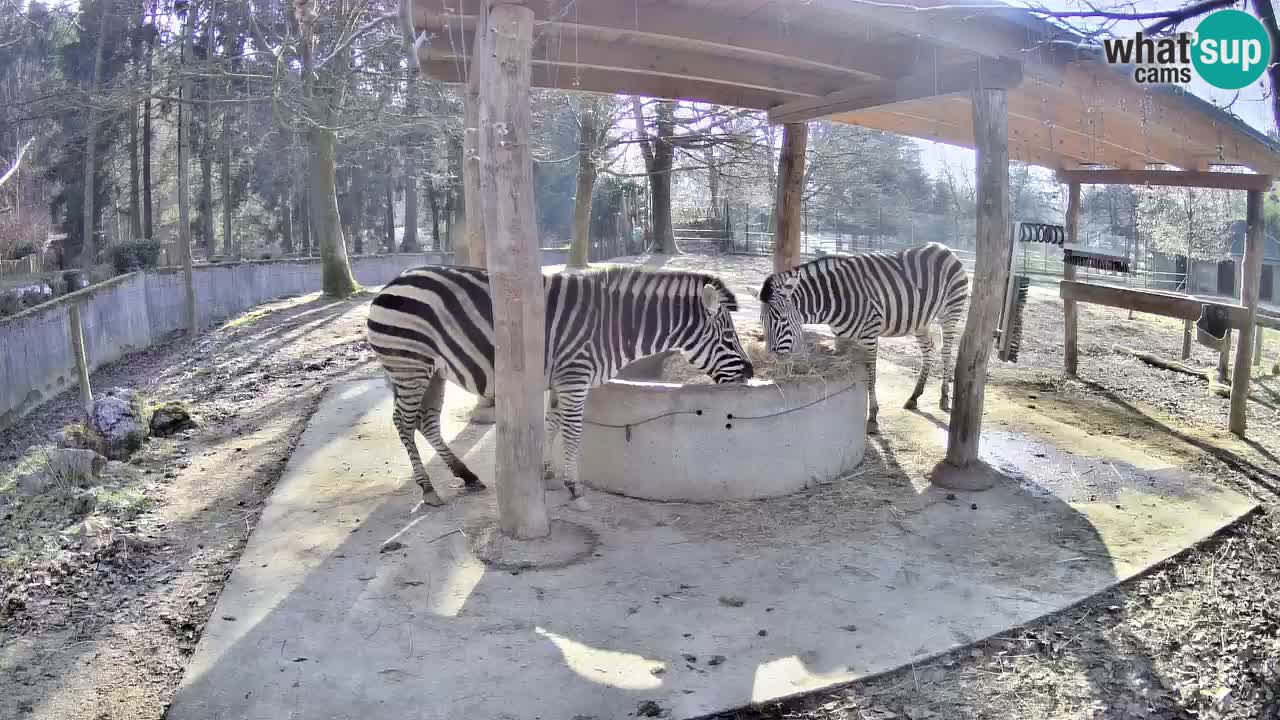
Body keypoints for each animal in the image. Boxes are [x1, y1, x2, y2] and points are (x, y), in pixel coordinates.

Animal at [366, 263, 752, 509]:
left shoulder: (558, 380)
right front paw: (573, 487)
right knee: (404, 422)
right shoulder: (574, 378)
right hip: (410, 366)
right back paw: (428, 490)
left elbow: (552, 424)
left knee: (426, 422)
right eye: (729, 337)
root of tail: (393, 281)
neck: (615, 325)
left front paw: (546, 472)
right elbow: (573, 432)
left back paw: (466, 475)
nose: (750, 372)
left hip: (432, 372)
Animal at [752, 240, 962, 430]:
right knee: (929, 350)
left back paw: (944, 398)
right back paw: (914, 397)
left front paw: (872, 417)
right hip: (921, 321)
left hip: (950, 312)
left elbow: (871, 375)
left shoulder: (870, 336)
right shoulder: (844, 336)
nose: (771, 359)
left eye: (782, 320)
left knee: (946, 352)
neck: (835, 298)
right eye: (763, 322)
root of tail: (943, 247)